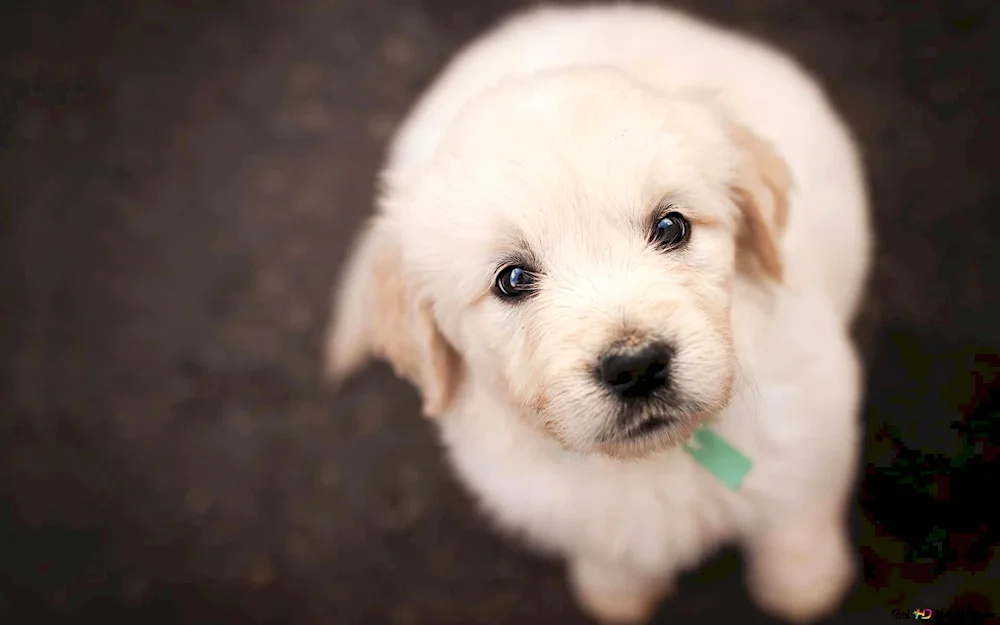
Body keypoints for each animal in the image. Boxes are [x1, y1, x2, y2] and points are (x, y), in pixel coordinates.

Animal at [324, 3, 872, 620]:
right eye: (512, 280)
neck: (656, 457)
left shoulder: (809, 435)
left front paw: (806, 592)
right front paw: (615, 597)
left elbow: (795, 528)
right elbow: (611, 553)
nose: (636, 366)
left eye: (671, 227)